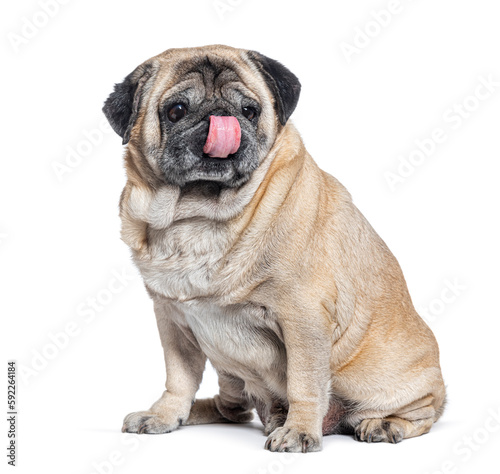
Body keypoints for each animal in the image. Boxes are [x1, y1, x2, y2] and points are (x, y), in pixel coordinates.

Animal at [101, 44, 446, 452]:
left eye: (250, 111)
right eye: (176, 110)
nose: (221, 117)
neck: (199, 217)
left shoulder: (303, 317)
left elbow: (305, 381)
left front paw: (300, 431)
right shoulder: (172, 320)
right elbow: (179, 378)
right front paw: (166, 415)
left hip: (377, 380)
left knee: (421, 411)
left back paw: (382, 424)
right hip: (230, 373)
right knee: (233, 408)